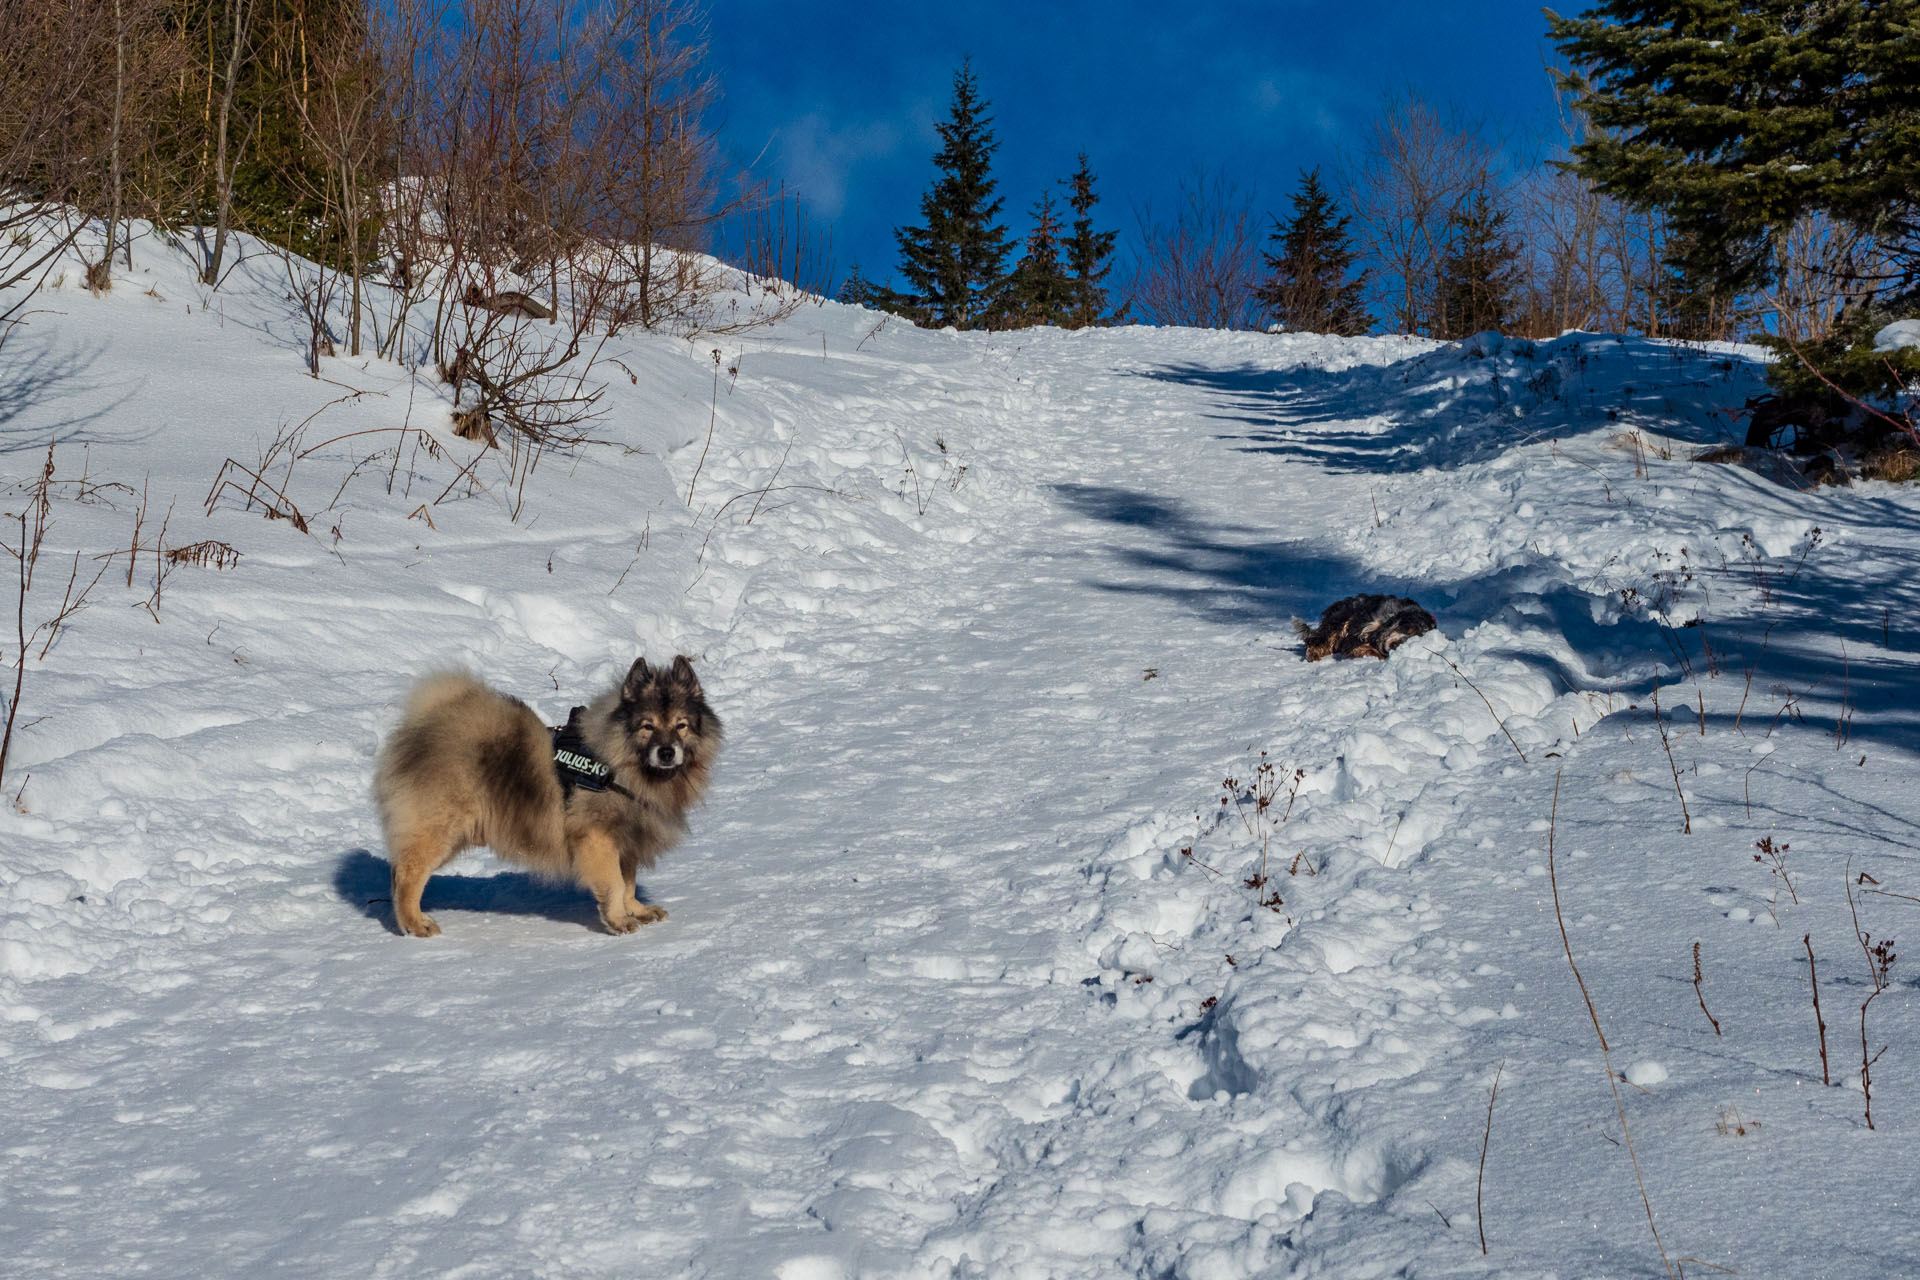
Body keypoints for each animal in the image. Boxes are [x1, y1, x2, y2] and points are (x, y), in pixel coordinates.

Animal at [372, 656, 721, 936]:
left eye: (681, 725)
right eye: (647, 726)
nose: (667, 752)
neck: (620, 766)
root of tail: (422, 724)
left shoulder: (626, 840)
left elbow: (629, 882)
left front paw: (636, 909)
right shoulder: (598, 839)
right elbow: (615, 883)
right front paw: (619, 920)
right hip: (441, 829)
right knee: (407, 874)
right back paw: (415, 924)